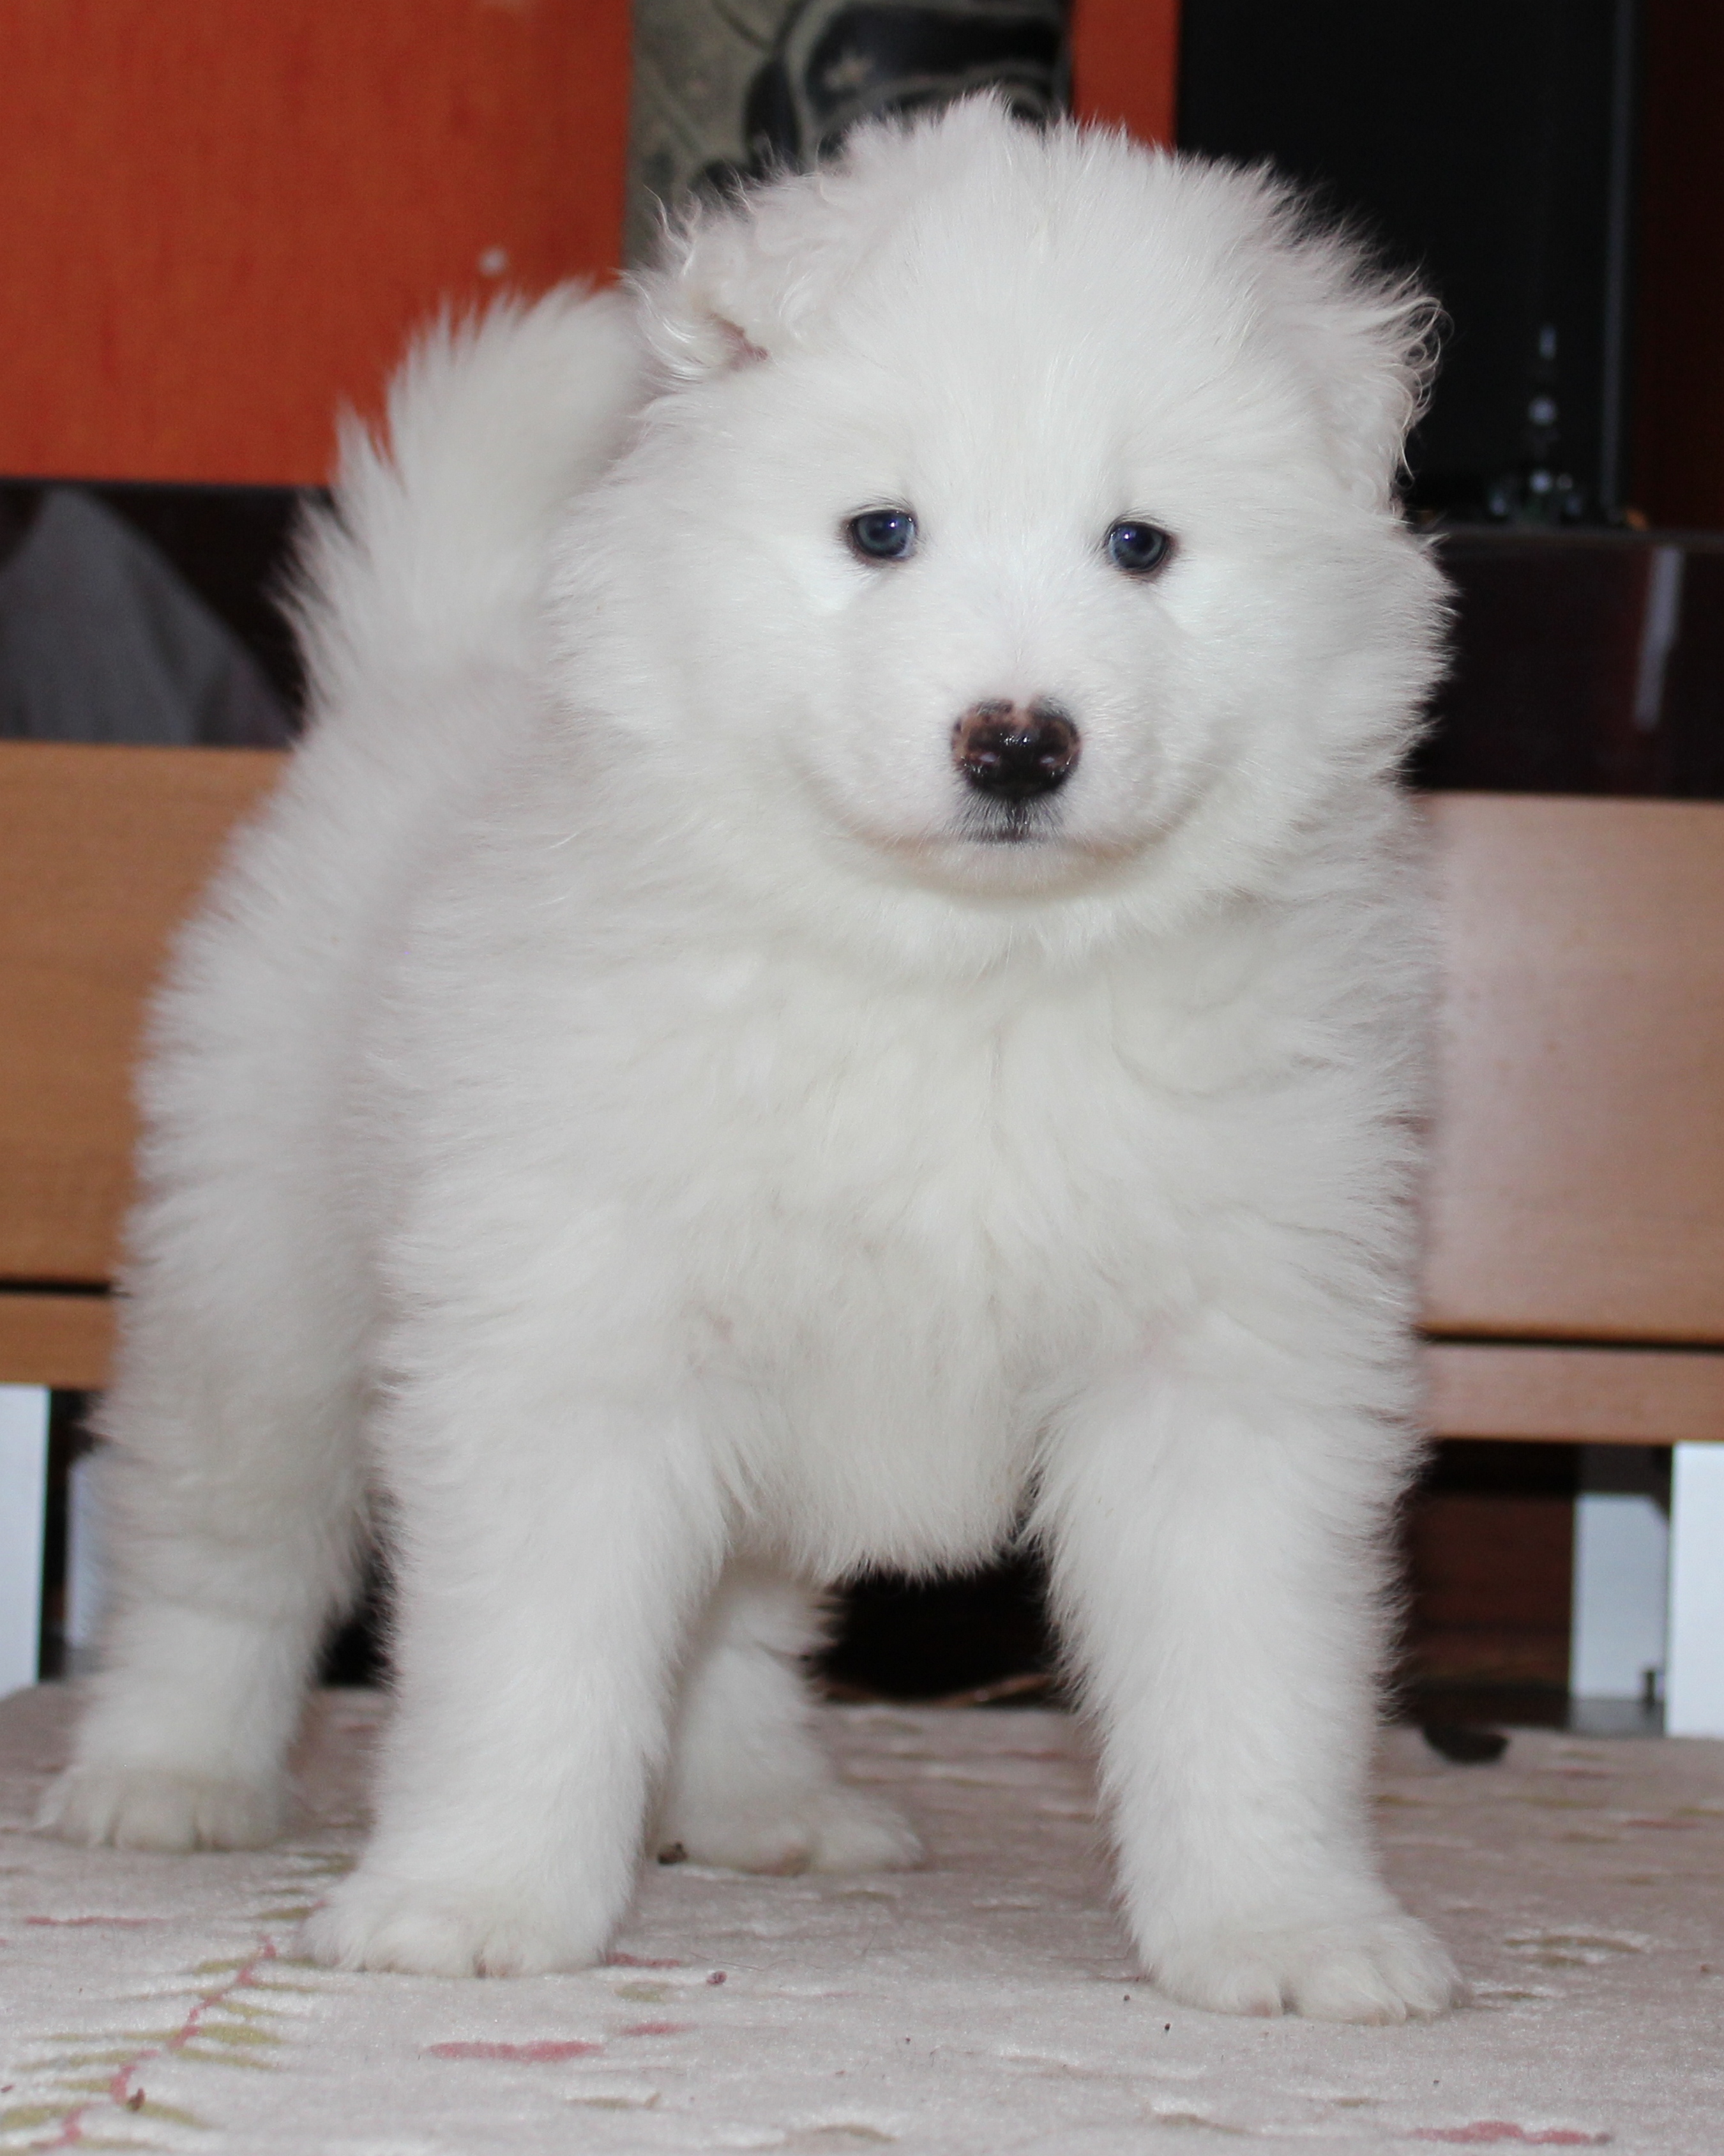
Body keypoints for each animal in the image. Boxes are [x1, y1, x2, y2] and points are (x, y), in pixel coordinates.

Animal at [44, 98, 1460, 2021]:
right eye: (880, 530)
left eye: (1140, 546)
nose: (1017, 742)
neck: (961, 977)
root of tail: (417, 685)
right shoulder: (574, 1340)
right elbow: (529, 1671)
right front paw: (473, 1901)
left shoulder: (1227, 1364)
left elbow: (1248, 1688)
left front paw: (1286, 1931)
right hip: (256, 1284)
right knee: (219, 1556)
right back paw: (161, 1778)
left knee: (732, 1628)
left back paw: (763, 1809)